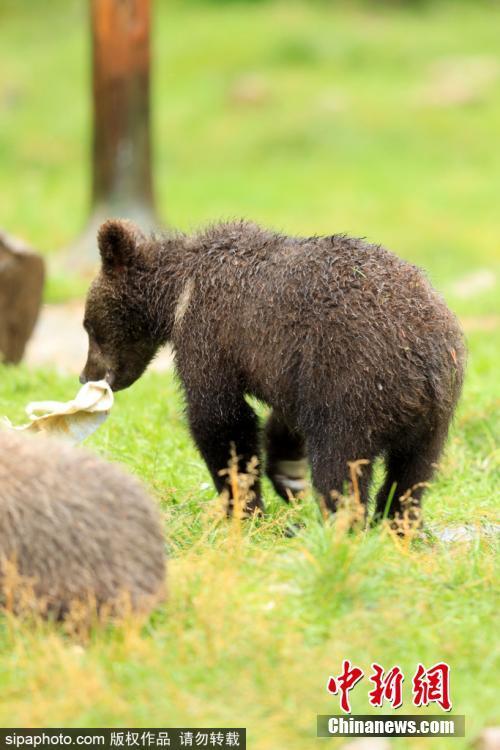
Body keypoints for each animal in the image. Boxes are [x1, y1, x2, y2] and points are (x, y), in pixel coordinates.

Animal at [80, 217, 466, 524]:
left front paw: (244, 505)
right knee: (412, 474)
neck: (178, 293)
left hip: (356, 382)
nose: (86, 374)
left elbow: (219, 419)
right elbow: (283, 419)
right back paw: (394, 524)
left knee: (340, 462)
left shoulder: (210, 334)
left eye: (87, 325)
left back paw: (340, 526)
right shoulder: (294, 369)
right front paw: (287, 477)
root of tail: (424, 356)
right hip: (435, 416)